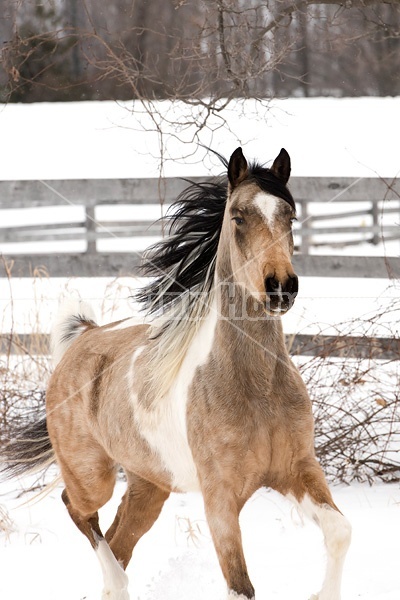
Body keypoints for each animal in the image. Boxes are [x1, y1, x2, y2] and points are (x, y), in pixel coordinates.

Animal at [4, 146, 352, 600]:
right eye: (238, 216)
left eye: (290, 216)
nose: (280, 286)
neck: (256, 388)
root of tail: (86, 335)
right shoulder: (220, 497)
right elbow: (241, 586)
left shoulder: (298, 469)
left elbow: (340, 532)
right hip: (92, 475)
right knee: (78, 510)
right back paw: (117, 581)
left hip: (150, 485)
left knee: (117, 539)